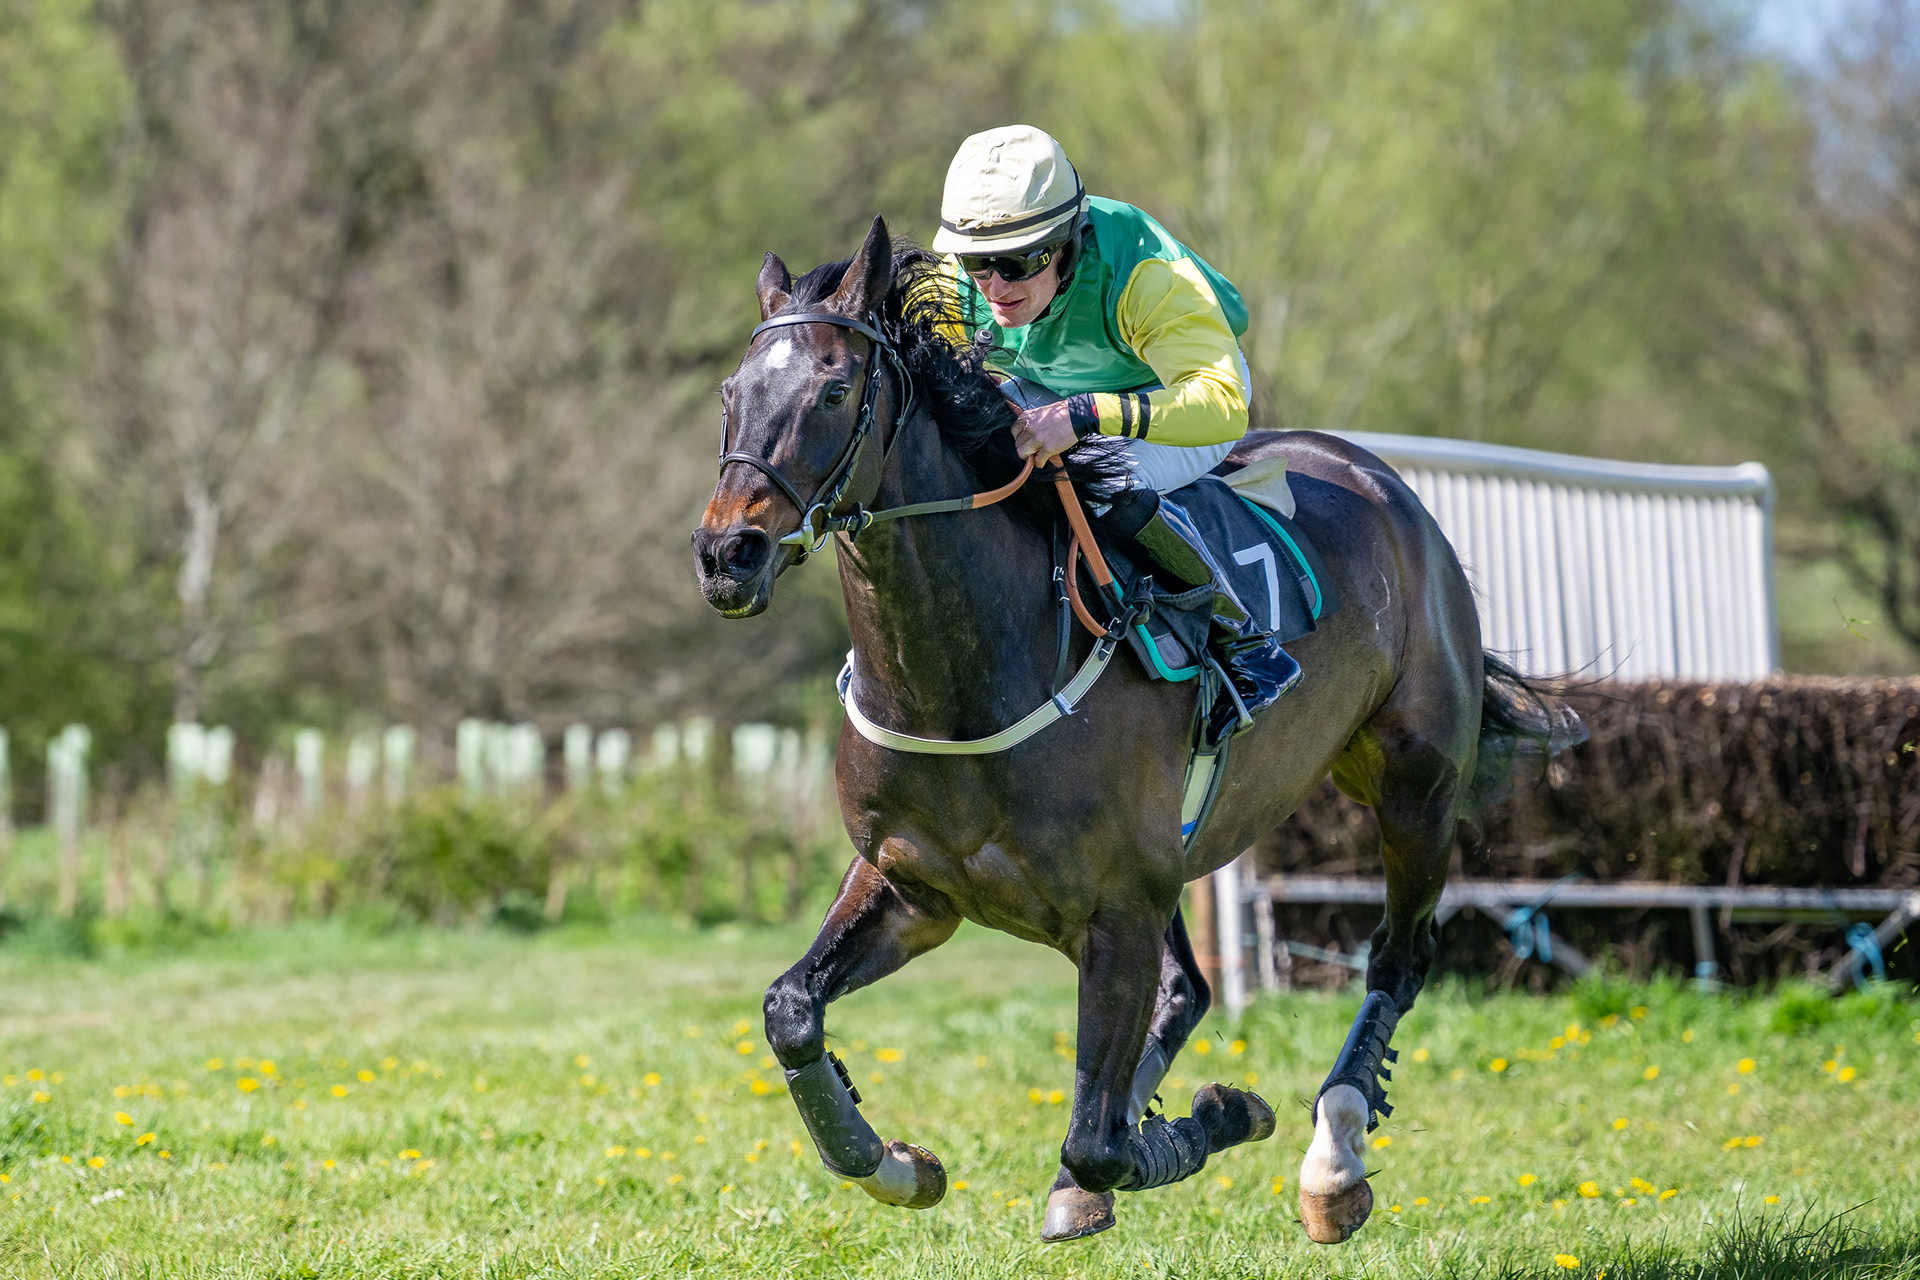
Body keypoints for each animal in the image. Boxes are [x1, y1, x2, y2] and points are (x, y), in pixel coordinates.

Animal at [692, 216, 1574, 1245]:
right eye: (731, 394)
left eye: (834, 390)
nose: (727, 553)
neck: (968, 681)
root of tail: (1381, 481)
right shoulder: (914, 888)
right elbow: (790, 1008)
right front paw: (893, 1163)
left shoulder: (1116, 907)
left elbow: (1098, 1141)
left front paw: (1217, 1118)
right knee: (1187, 991)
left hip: (1412, 790)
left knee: (1396, 958)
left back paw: (1335, 1160)